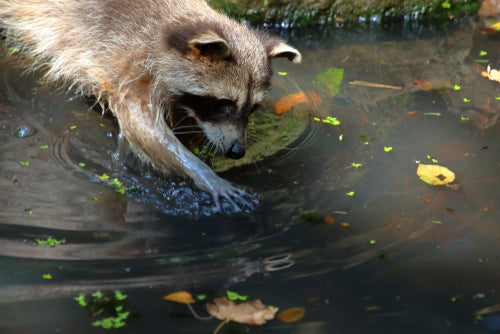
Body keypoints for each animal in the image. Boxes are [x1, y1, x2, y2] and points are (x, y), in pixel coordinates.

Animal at [0, 0, 300, 211]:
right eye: (224, 103)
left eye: (253, 108)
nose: (237, 152)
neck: (169, 29)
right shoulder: (133, 68)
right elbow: (142, 128)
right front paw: (201, 172)